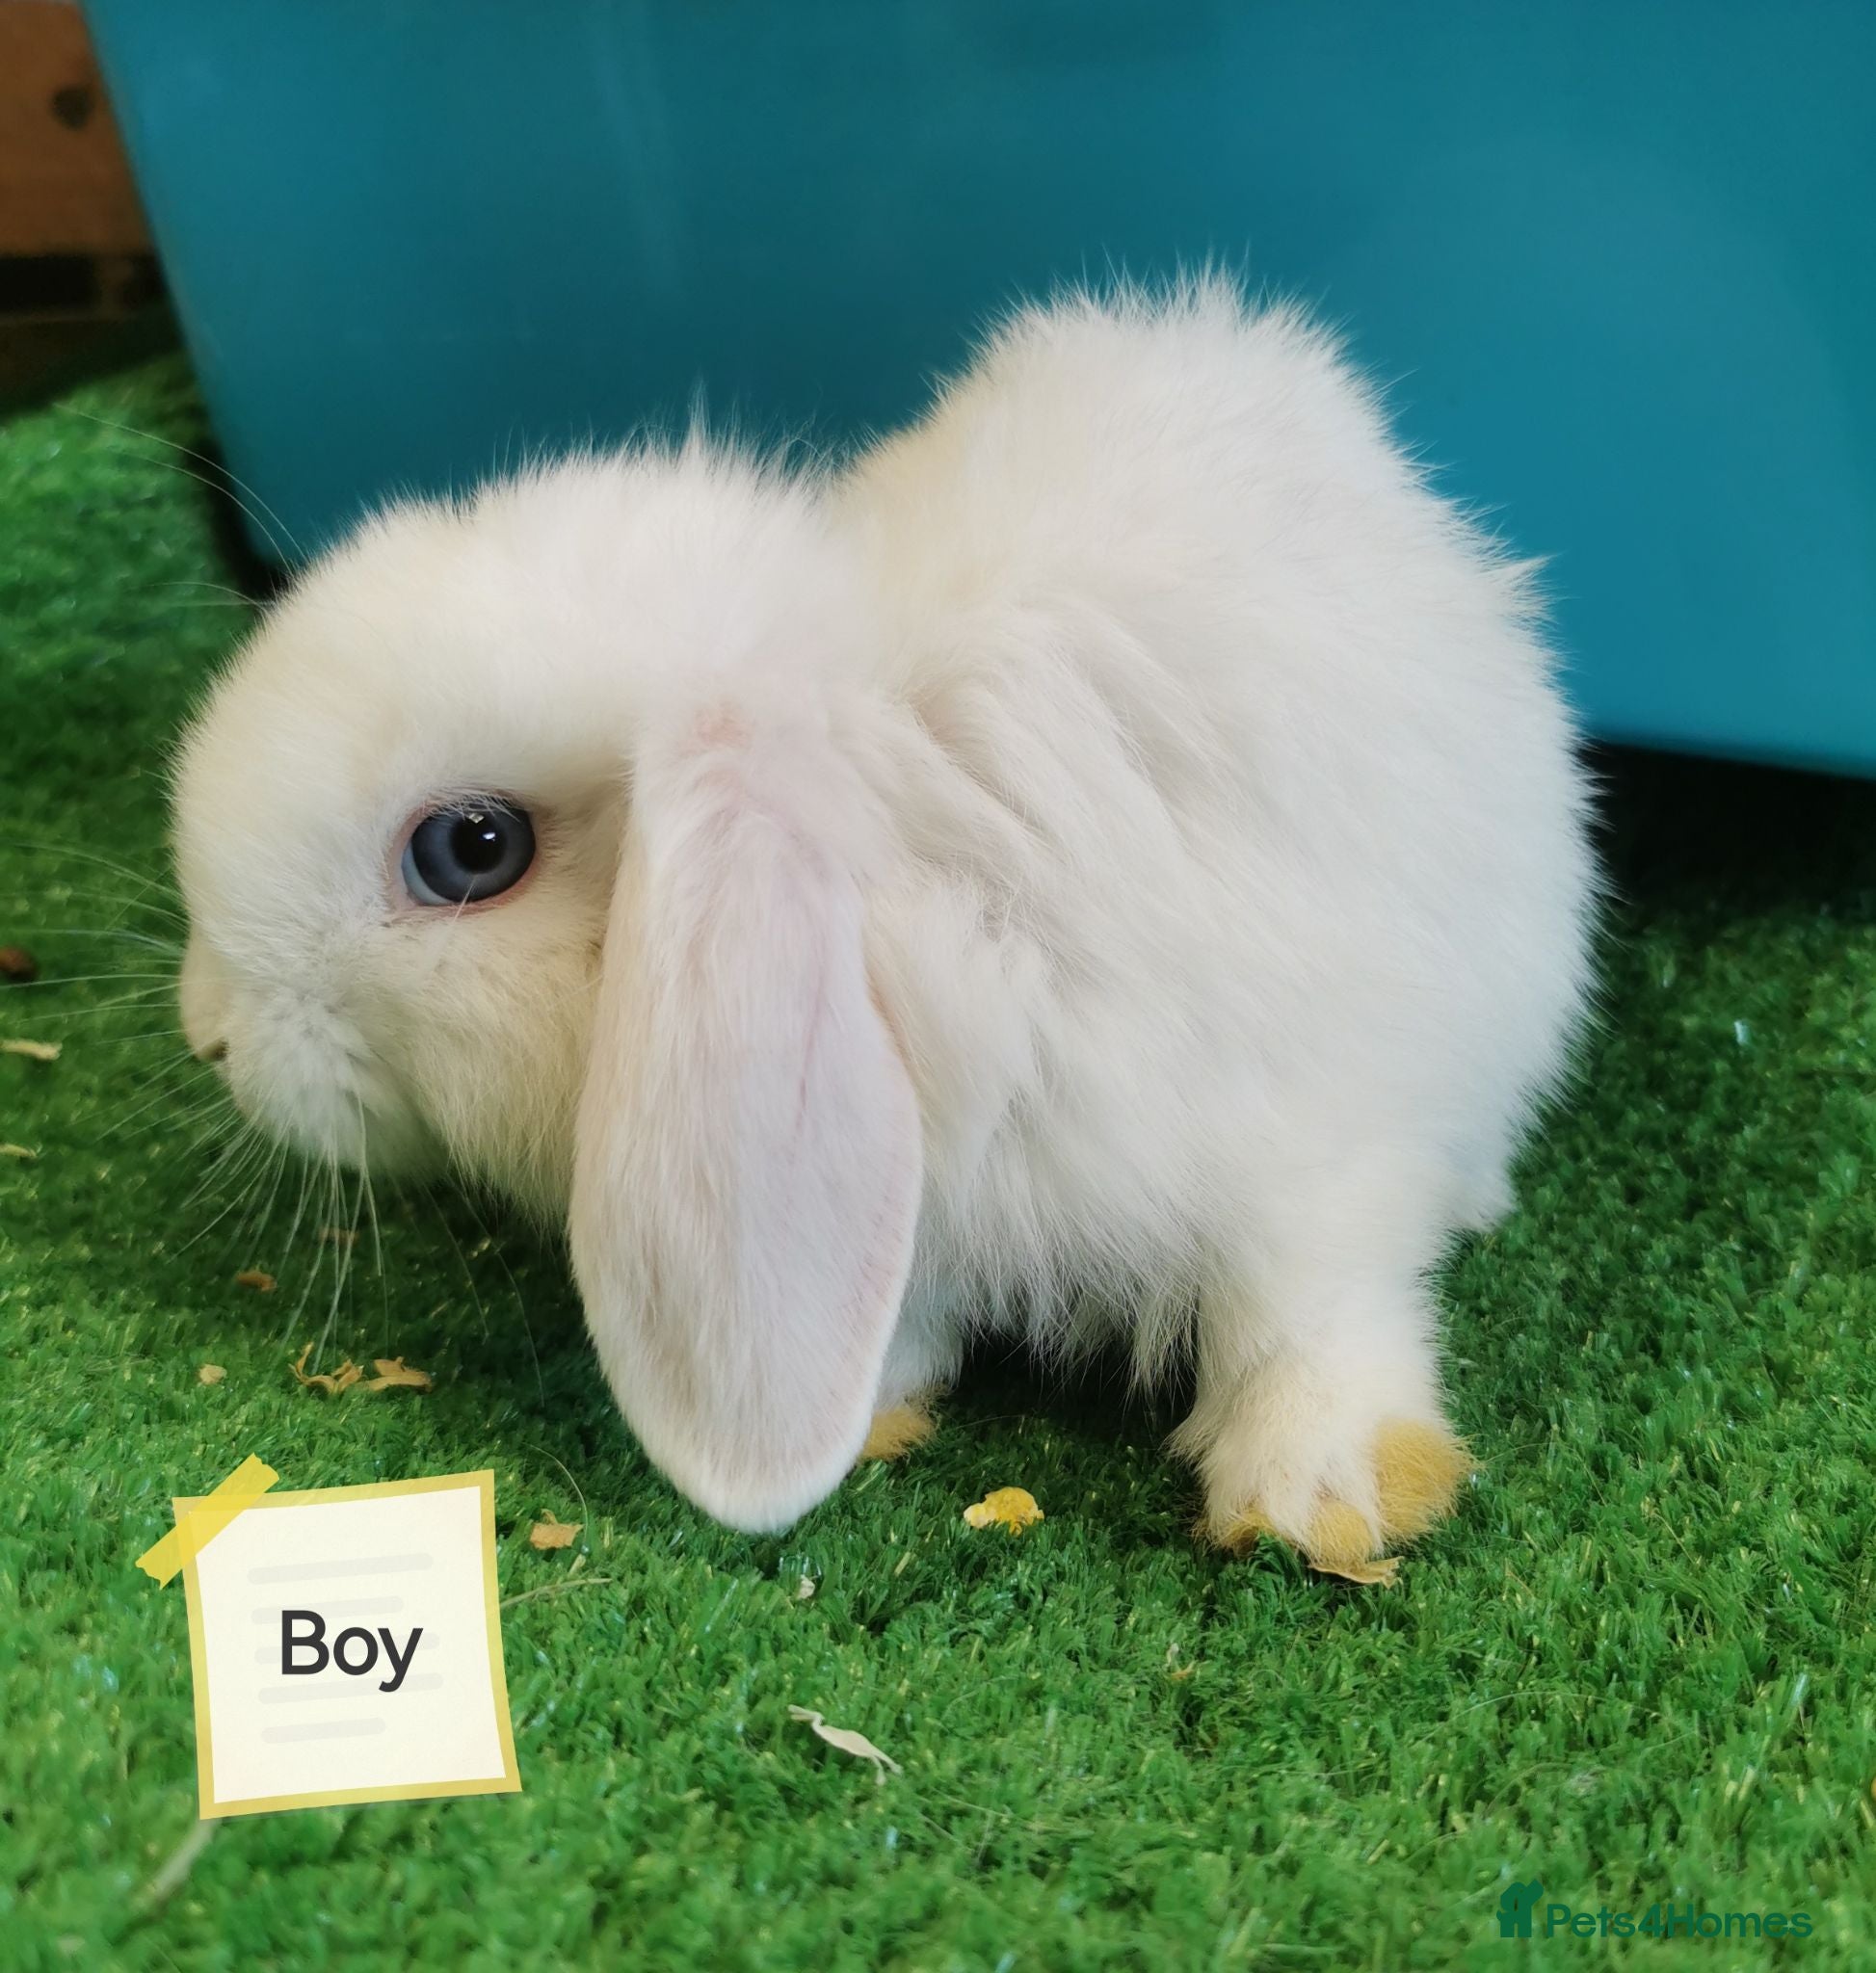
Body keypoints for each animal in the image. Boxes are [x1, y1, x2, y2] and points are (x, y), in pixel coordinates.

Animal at [172, 278, 1596, 1571]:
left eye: (471, 848)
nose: (211, 1037)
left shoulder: (1302, 1133)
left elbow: (1303, 1307)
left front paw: (1323, 1498)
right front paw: (867, 1420)